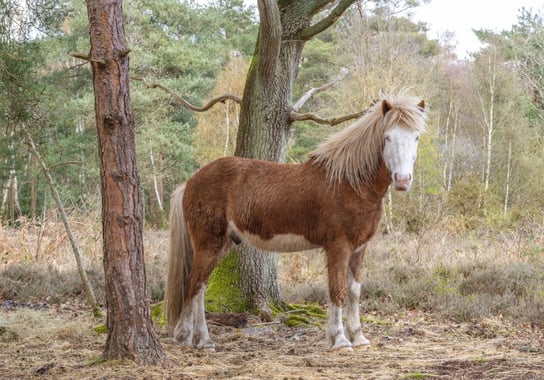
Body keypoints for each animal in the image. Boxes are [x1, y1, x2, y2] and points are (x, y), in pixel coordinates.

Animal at [166, 93, 424, 352]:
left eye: (416, 137)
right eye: (387, 137)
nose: (403, 180)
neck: (349, 183)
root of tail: (190, 182)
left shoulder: (359, 247)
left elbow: (353, 292)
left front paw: (358, 338)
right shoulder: (338, 247)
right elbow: (337, 290)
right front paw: (340, 340)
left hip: (222, 244)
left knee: (194, 286)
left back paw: (186, 336)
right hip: (209, 244)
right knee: (196, 286)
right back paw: (202, 339)